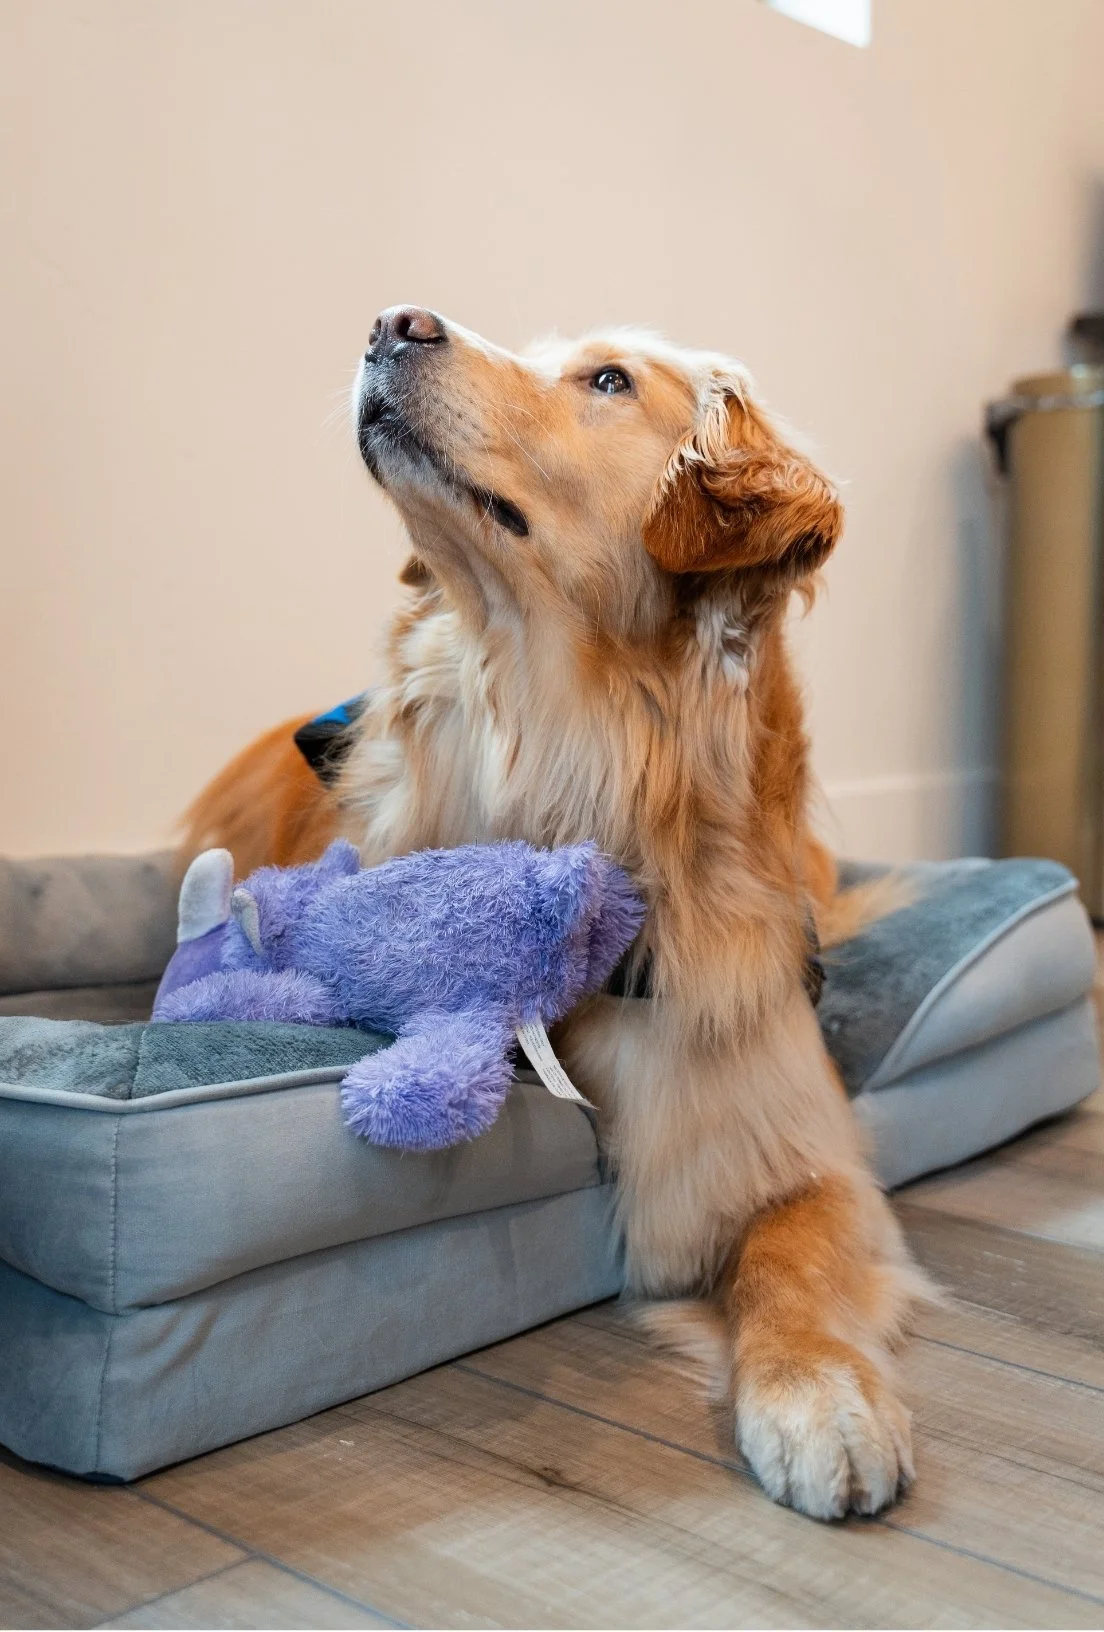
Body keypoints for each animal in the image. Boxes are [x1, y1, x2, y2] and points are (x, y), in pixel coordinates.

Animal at [183, 307, 927, 1520]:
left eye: (609, 381)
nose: (391, 322)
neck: (564, 749)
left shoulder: (789, 1131)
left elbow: (795, 1250)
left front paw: (824, 1394)